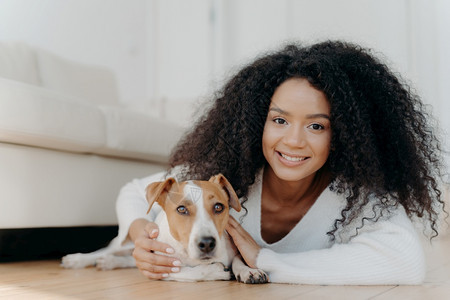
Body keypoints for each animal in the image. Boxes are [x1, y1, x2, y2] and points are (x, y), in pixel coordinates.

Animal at [62, 173, 268, 284]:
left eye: (219, 207)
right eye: (181, 209)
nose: (207, 243)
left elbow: (239, 260)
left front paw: (249, 271)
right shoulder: (162, 266)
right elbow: (192, 271)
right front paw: (216, 271)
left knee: (129, 260)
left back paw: (111, 262)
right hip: (125, 243)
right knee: (106, 251)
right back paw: (78, 259)